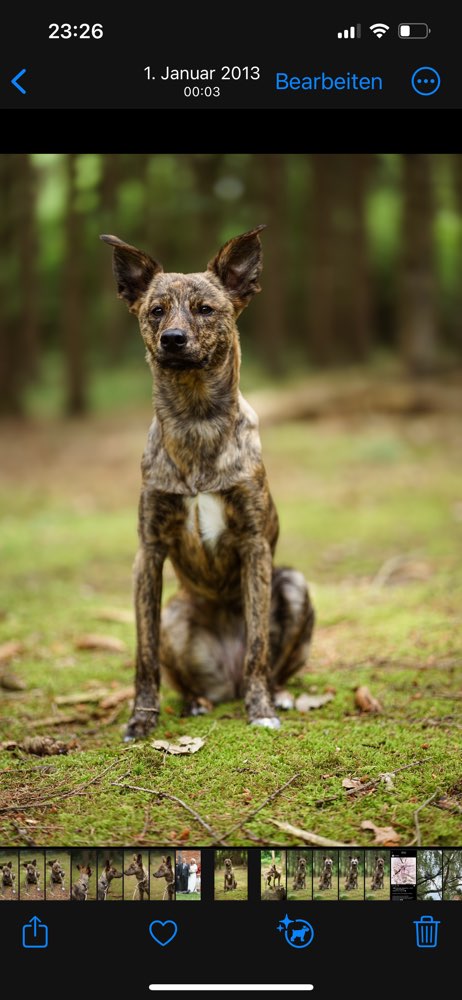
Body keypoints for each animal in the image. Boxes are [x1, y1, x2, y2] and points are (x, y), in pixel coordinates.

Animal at [102, 230, 314, 740]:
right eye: (156, 310)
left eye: (205, 309)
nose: (173, 339)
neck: (195, 419)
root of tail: (227, 682)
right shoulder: (149, 553)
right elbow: (144, 656)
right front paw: (142, 719)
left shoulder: (255, 545)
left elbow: (258, 646)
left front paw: (261, 711)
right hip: (176, 615)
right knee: (184, 676)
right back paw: (196, 700)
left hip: (293, 584)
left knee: (271, 664)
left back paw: (274, 694)